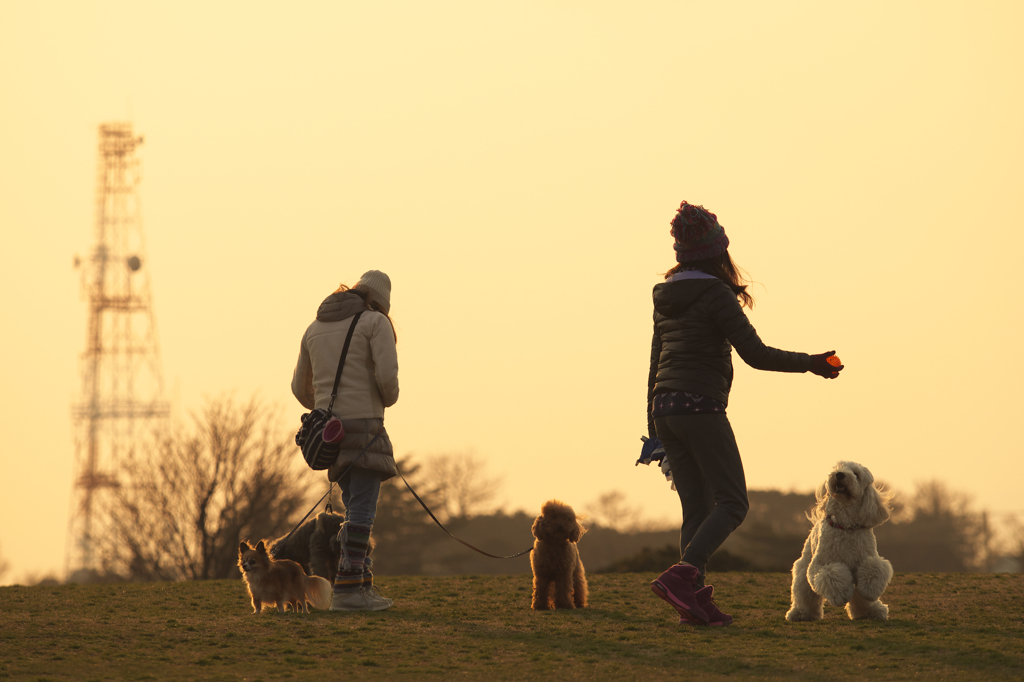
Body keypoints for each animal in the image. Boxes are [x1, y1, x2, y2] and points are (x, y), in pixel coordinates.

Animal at [786, 458, 892, 618]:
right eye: (837, 468)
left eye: (856, 474)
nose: (839, 474)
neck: (846, 526)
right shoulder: (820, 565)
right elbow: (831, 575)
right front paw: (841, 596)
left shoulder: (867, 558)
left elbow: (874, 568)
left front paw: (870, 590)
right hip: (802, 569)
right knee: (804, 593)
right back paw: (801, 614)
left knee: (860, 597)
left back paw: (871, 612)